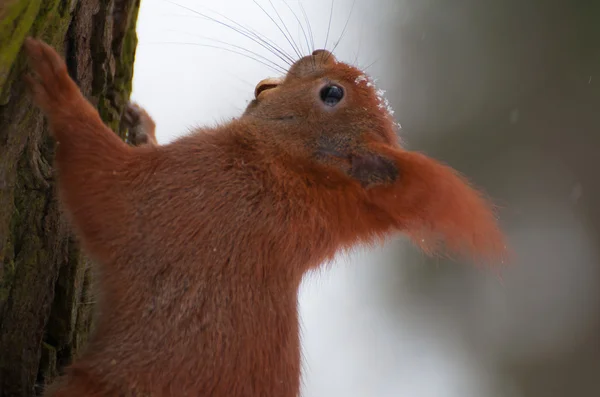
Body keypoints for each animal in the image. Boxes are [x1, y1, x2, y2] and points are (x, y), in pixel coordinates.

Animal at [22, 38, 506, 396]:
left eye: (332, 93)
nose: (321, 52)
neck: (283, 173)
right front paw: (143, 125)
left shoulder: (184, 195)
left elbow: (101, 184)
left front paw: (56, 83)